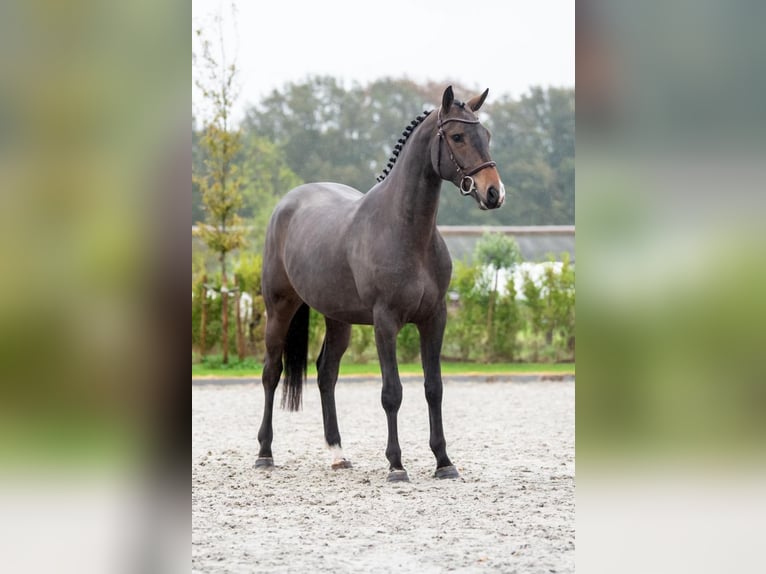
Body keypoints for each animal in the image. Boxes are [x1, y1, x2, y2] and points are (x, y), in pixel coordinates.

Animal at [258, 85, 508, 482]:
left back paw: (337, 454)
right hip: (279, 308)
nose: (494, 193)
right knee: (272, 372)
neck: (405, 231)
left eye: (486, 135)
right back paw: (265, 453)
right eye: (457, 136)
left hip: (338, 320)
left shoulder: (434, 319)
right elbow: (392, 392)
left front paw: (443, 461)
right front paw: (396, 464)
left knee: (326, 373)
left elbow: (434, 388)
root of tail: (287, 203)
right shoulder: (385, 322)